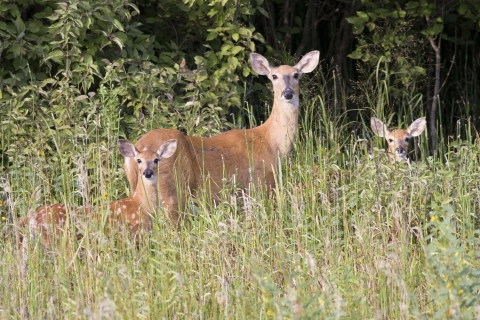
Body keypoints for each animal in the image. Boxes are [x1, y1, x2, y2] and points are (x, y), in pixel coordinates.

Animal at [19, 139, 178, 249]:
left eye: (156, 160)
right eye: (139, 160)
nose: (147, 173)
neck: (141, 205)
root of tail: (32, 217)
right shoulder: (132, 236)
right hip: (60, 241)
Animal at [124, 50, 318, 212]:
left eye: (296, 74)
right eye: (274, 76)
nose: (288, 93)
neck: (272, 143)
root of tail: (136, 151)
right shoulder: (260, 183)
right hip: (169, 189)